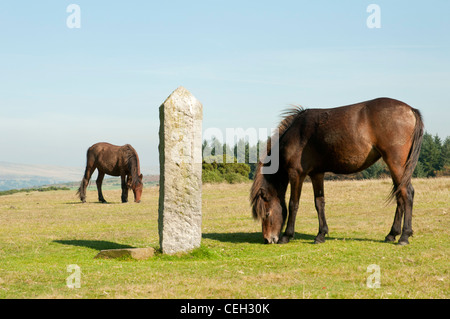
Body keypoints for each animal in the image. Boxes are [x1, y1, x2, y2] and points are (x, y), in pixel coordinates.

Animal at [251, 99, 424, 246]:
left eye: (266, 214)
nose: (268, 239)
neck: (297, 133)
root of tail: (410, 109)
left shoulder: (296, 174)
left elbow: (293, 204)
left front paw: (286, 236)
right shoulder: (317, 174)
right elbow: (319, 203)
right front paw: (321, 235)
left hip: (396, 164)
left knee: (407, 193)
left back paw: (404, 236)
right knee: (400, 195)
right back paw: (392, 234)